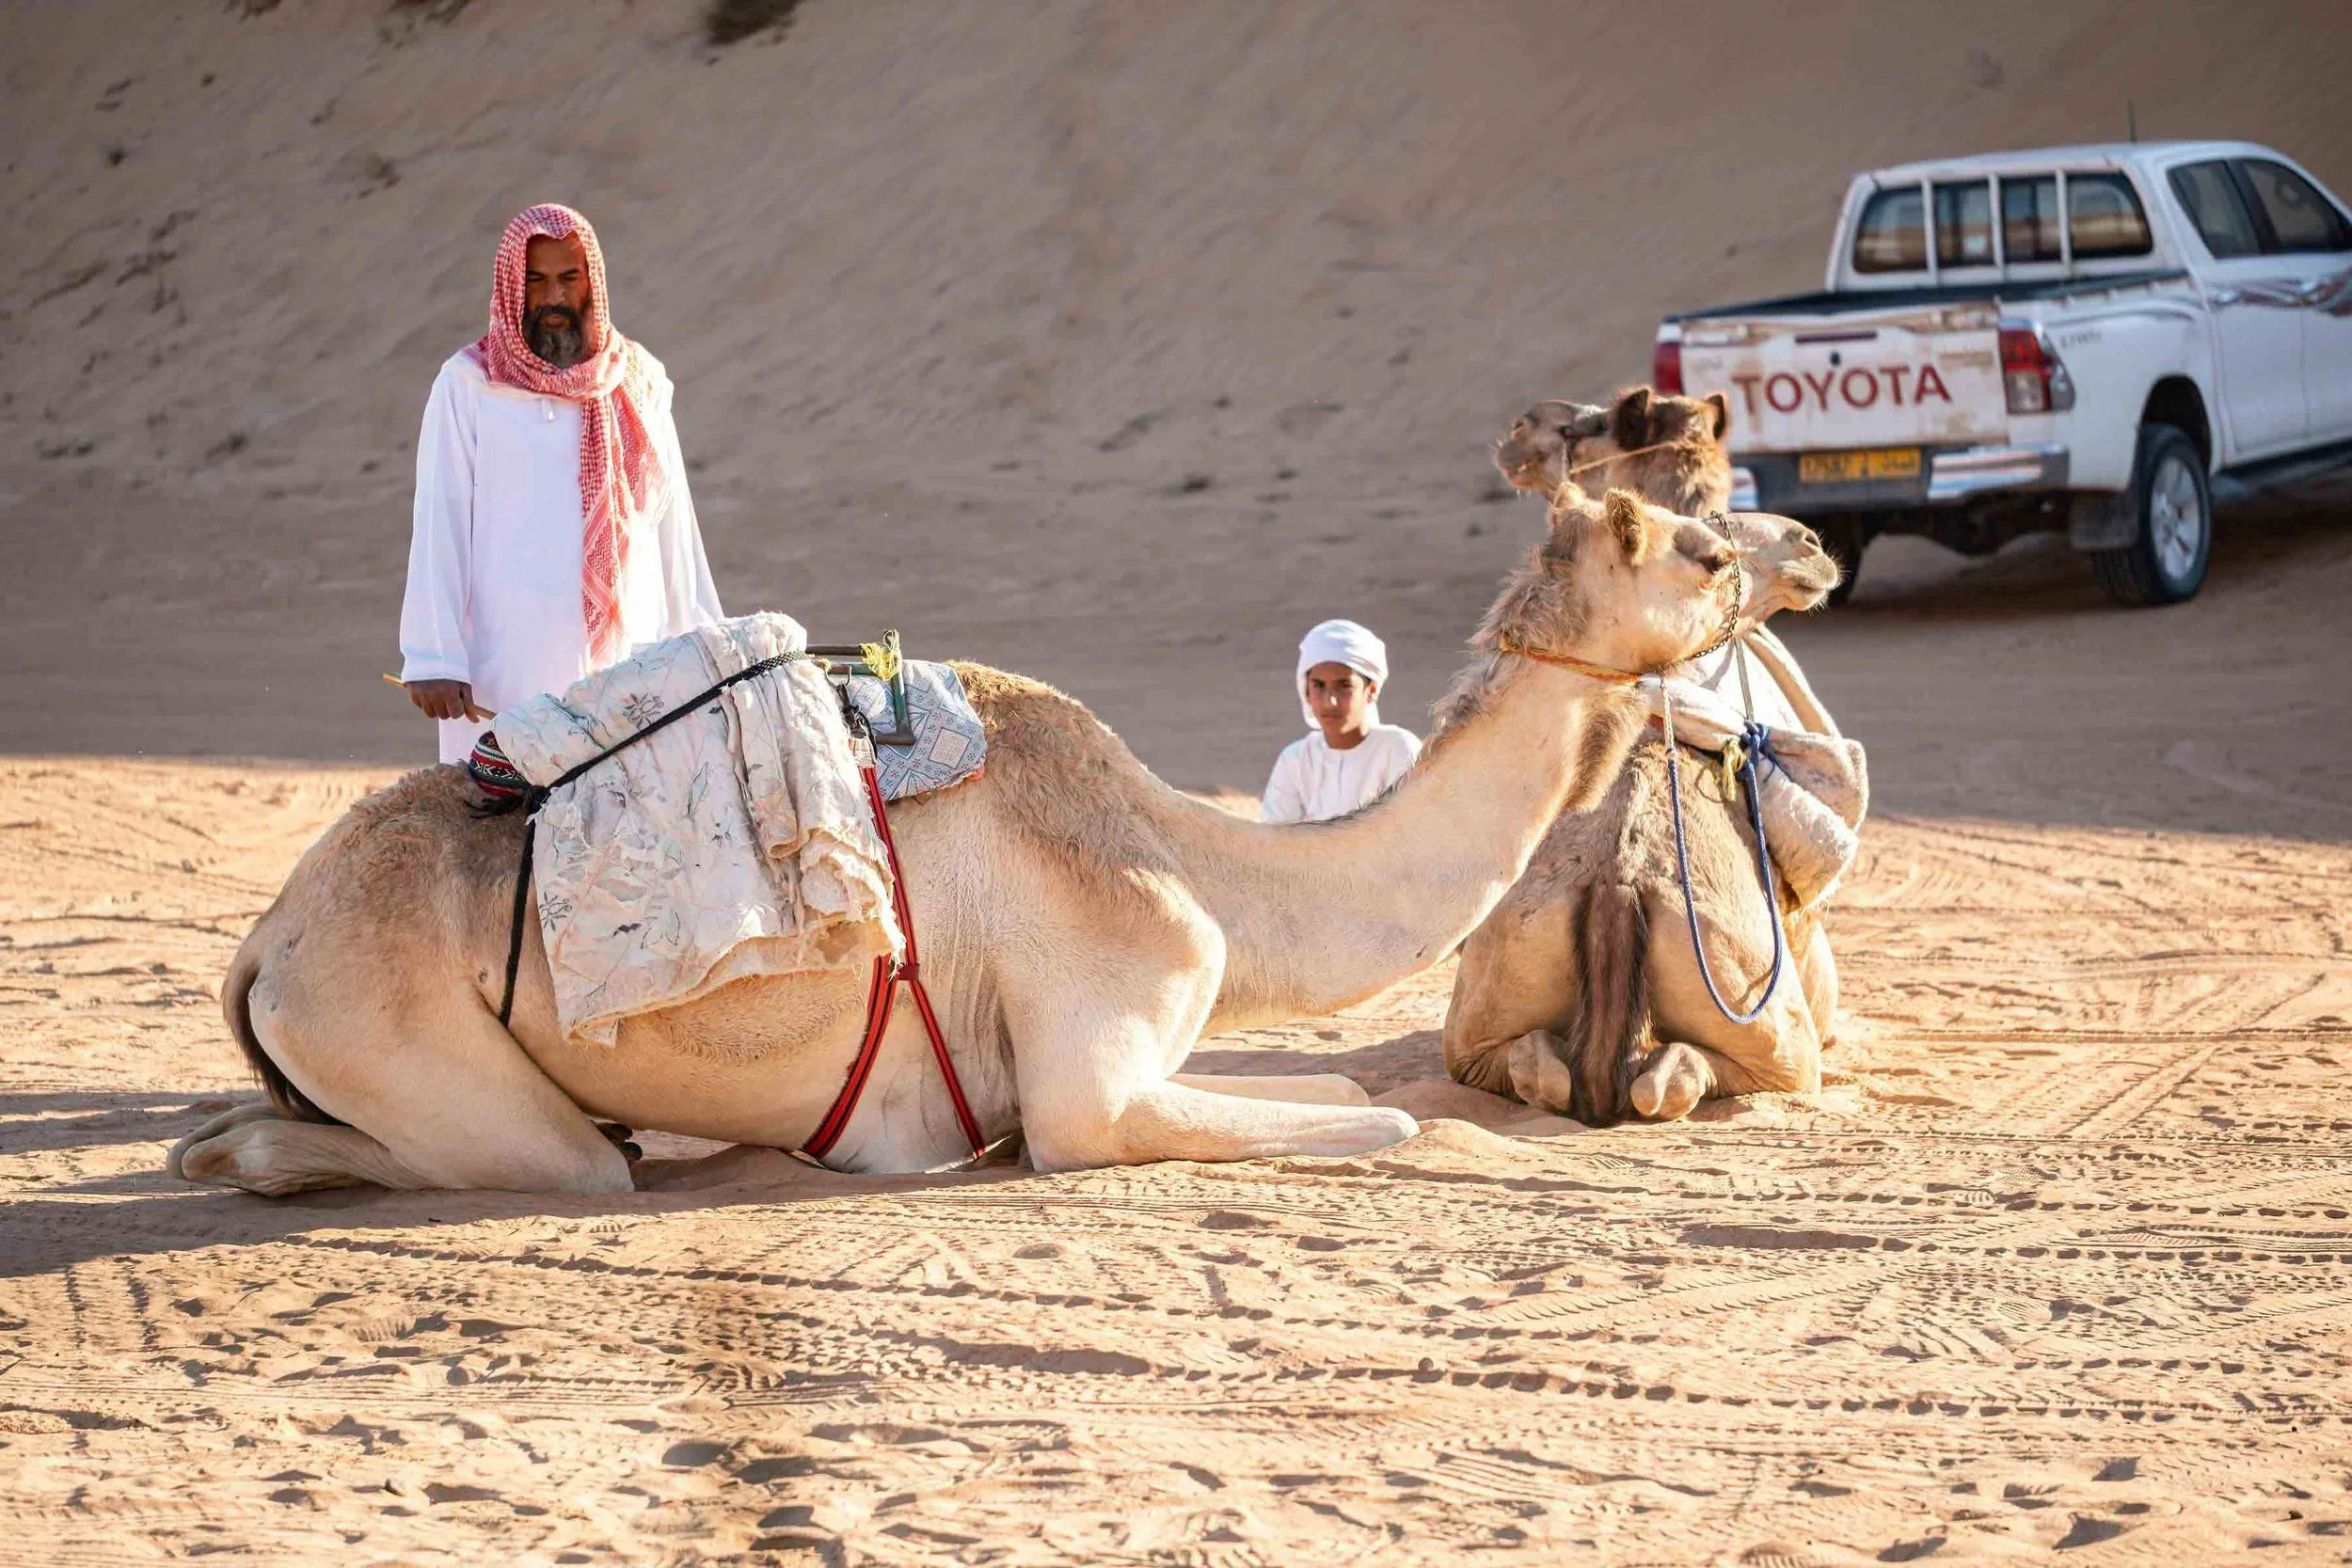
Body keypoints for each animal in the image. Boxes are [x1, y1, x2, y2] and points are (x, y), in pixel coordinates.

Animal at [172, 486, 1830, 1196]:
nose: (1808, 545)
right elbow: (1393, 1121)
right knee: (503, 1158)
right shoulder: (1097, 1064)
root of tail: (271, 939)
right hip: (406, 1035)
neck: (1199, 865)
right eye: (1699, 546)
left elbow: (1365, 1100)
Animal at [1443, 386, 1844, 1124]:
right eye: (1715, 554)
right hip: (1766, 1015)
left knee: (1529, 1063)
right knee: (1701, 1075)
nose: (1808, 545)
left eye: (1589, 424)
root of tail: (1618, 886)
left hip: (1485, 997)